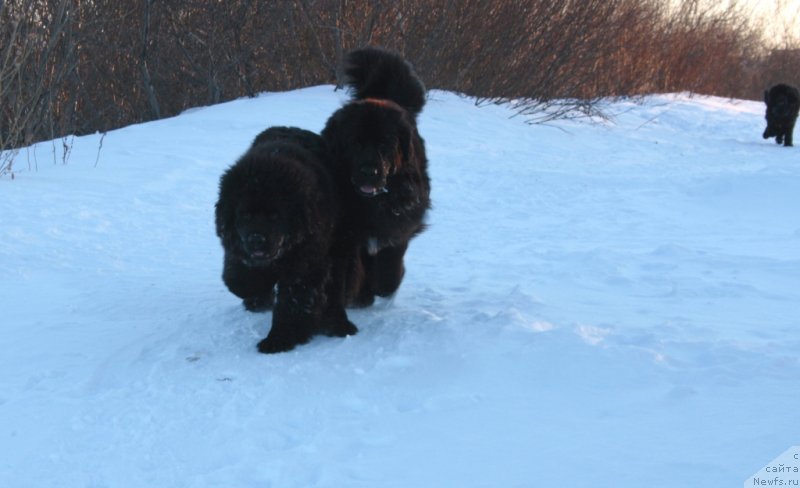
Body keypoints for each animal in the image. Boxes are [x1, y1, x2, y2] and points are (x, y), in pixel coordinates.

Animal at [217, 127, 358, 352]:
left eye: (275, 216)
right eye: (245, 216)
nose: (256, 239)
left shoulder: (305, 263)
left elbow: (292, 302)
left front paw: (279, 339)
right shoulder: (237, 246)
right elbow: (238, 278)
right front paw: (253, 291)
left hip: (338, 245)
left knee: (335, 287)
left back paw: (337, 324)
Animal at [322, 45, 432, 304]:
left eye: (385, 144)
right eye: (355, 143)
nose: (369, 171)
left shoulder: (399, 223)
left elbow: (390, 259)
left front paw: (384, 285)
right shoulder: (347, 234)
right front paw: (357, 293)